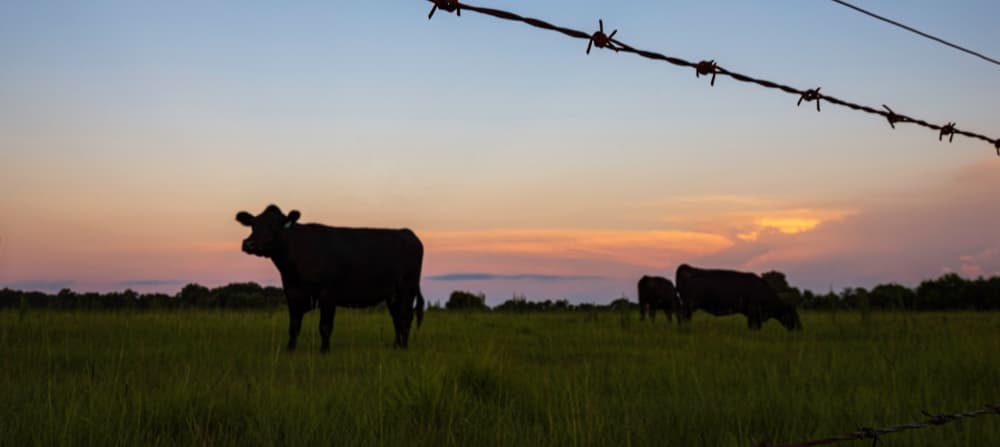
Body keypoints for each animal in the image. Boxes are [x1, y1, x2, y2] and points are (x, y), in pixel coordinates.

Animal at [236, 204, 425, 351]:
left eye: (274, 226)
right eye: (253, 225)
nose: (249, 243)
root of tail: (407, 233)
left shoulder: (328, 293)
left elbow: (325, 326)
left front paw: (324, 351)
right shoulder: (292, 292)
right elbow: (294, 326)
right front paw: (290, 349)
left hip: (407, 288)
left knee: (405, 317)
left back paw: (403, 348)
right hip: (393, 294)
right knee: (397, 318)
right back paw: (396, 346)